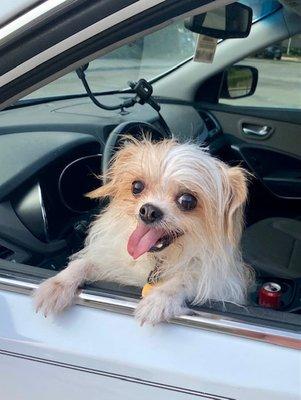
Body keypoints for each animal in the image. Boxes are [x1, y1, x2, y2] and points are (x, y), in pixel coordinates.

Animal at [34, 138, 252, 324]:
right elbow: (83, 264)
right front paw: (55, 285)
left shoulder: (220, 285)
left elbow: (186, 278)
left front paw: (158, 299)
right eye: (137, 187)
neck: (158, 260)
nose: (148, 211)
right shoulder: (115, 263)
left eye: (187, 200)